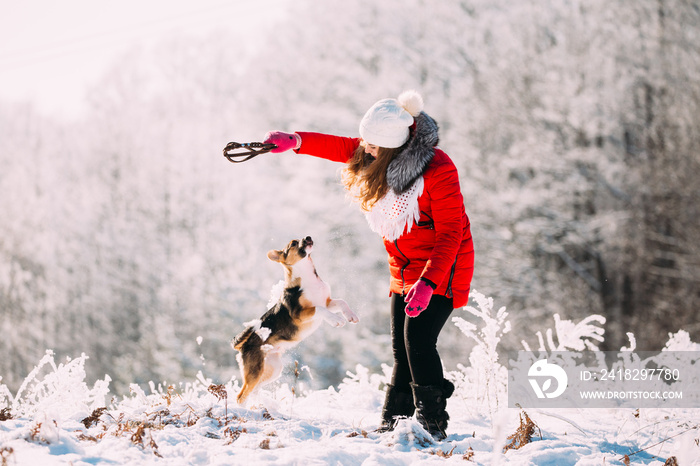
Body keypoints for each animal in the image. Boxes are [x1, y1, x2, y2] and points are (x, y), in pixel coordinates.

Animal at [232, 237, 358, 404]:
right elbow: (319, 309)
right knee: (241, 396)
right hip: (255, 370)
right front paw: (336, 320)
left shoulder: (327, 302)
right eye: (293, 243)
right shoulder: (300, 313)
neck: (308, 277)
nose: (308, 237)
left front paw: (350, 316)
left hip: (272, 369)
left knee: (254, 391)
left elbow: (342, 302)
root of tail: (242, 345)